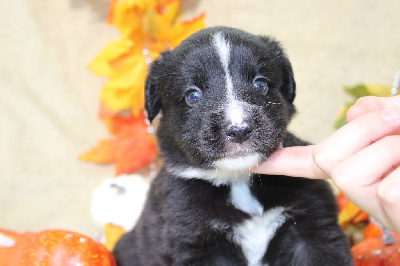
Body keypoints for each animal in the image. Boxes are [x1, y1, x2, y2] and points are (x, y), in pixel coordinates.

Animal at [111, 27, 350, 266]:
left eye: (260, 84)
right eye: (192, 95)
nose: (239, 130)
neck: (239, 180)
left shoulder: (311, 227)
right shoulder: (198, 242)